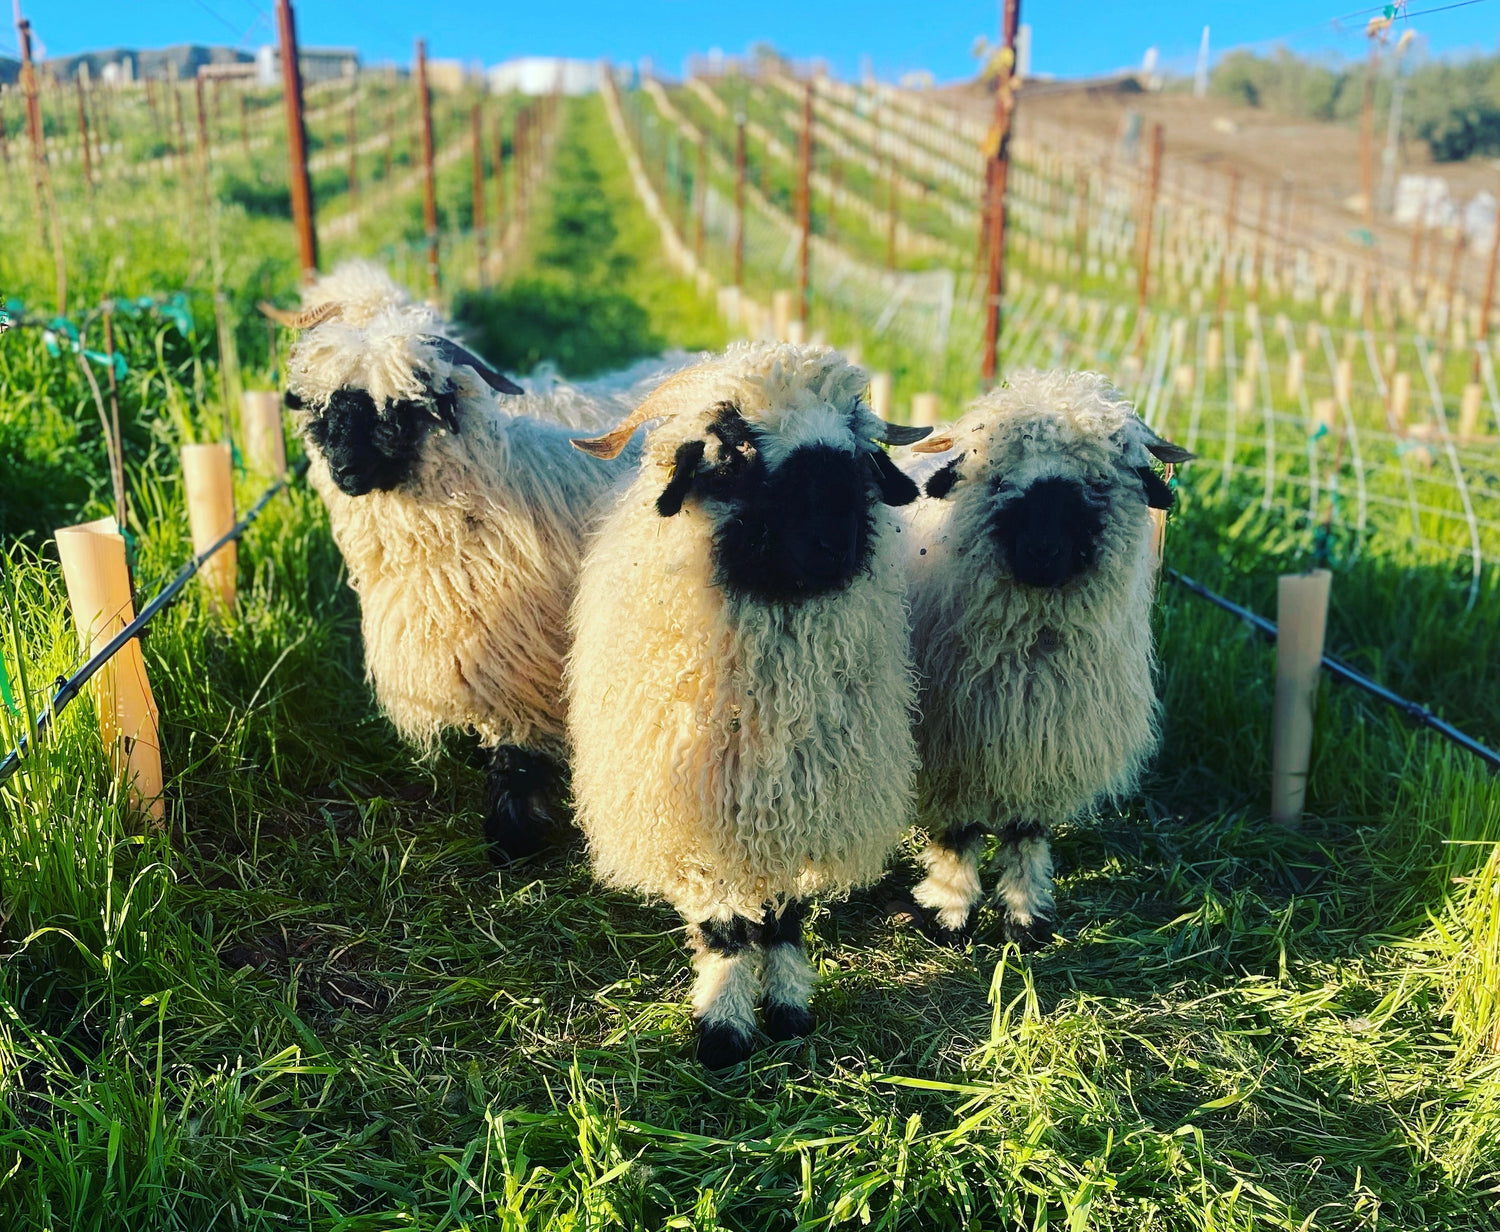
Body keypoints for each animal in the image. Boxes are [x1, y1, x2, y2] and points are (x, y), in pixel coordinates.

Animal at [280, 290, 657, 859]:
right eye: (325, 412)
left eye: (399, 413)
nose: (344, 471)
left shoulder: (523, 662)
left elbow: (517, 756)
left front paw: (511, 834)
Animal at [564, 342, 932, 1067]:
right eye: (736, 451)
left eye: (855, 449)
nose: (836, 545)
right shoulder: (701, 815)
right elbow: (727, 928)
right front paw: (725, 1028)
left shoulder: (801, 799)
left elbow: (785, 915)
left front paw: (788, 1009)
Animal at [899, 368, 1192, 950]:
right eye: (996, 481)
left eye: (1099, 483)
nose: (1041, 551)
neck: (1031, 650)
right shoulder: (949, 750)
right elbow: (957, 834)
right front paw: (949, 910)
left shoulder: (1045, 740)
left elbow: (1026, 833)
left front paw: (1024, 916)